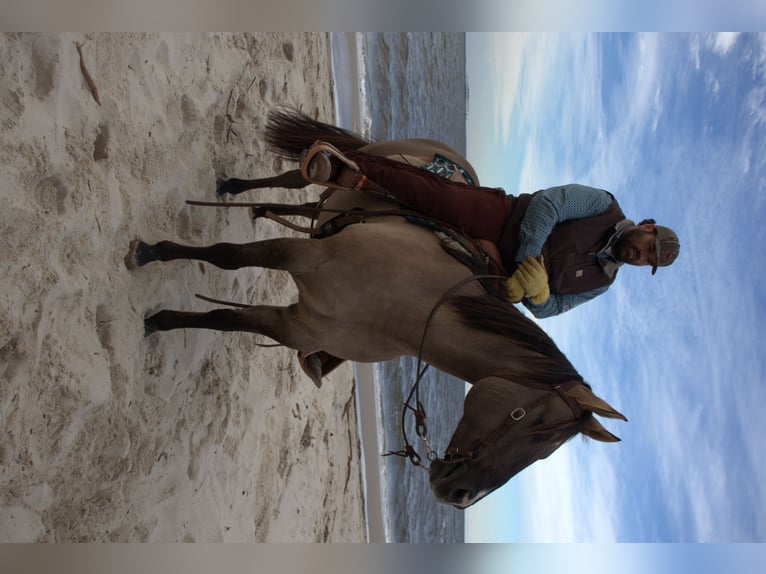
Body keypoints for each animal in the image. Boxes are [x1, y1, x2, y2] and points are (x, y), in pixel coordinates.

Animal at [124, 110, 626, 508]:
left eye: (543, 452)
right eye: (531, 425)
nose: (460, 494)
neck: (401, 309)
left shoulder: (299, 328)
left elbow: (225, 319)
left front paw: (162, 321)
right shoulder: (300, 258)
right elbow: (226, 257)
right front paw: (150, 254)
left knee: (310, 203)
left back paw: (262, 206)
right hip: (363, 162)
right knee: (301, 177)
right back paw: (245, 184)